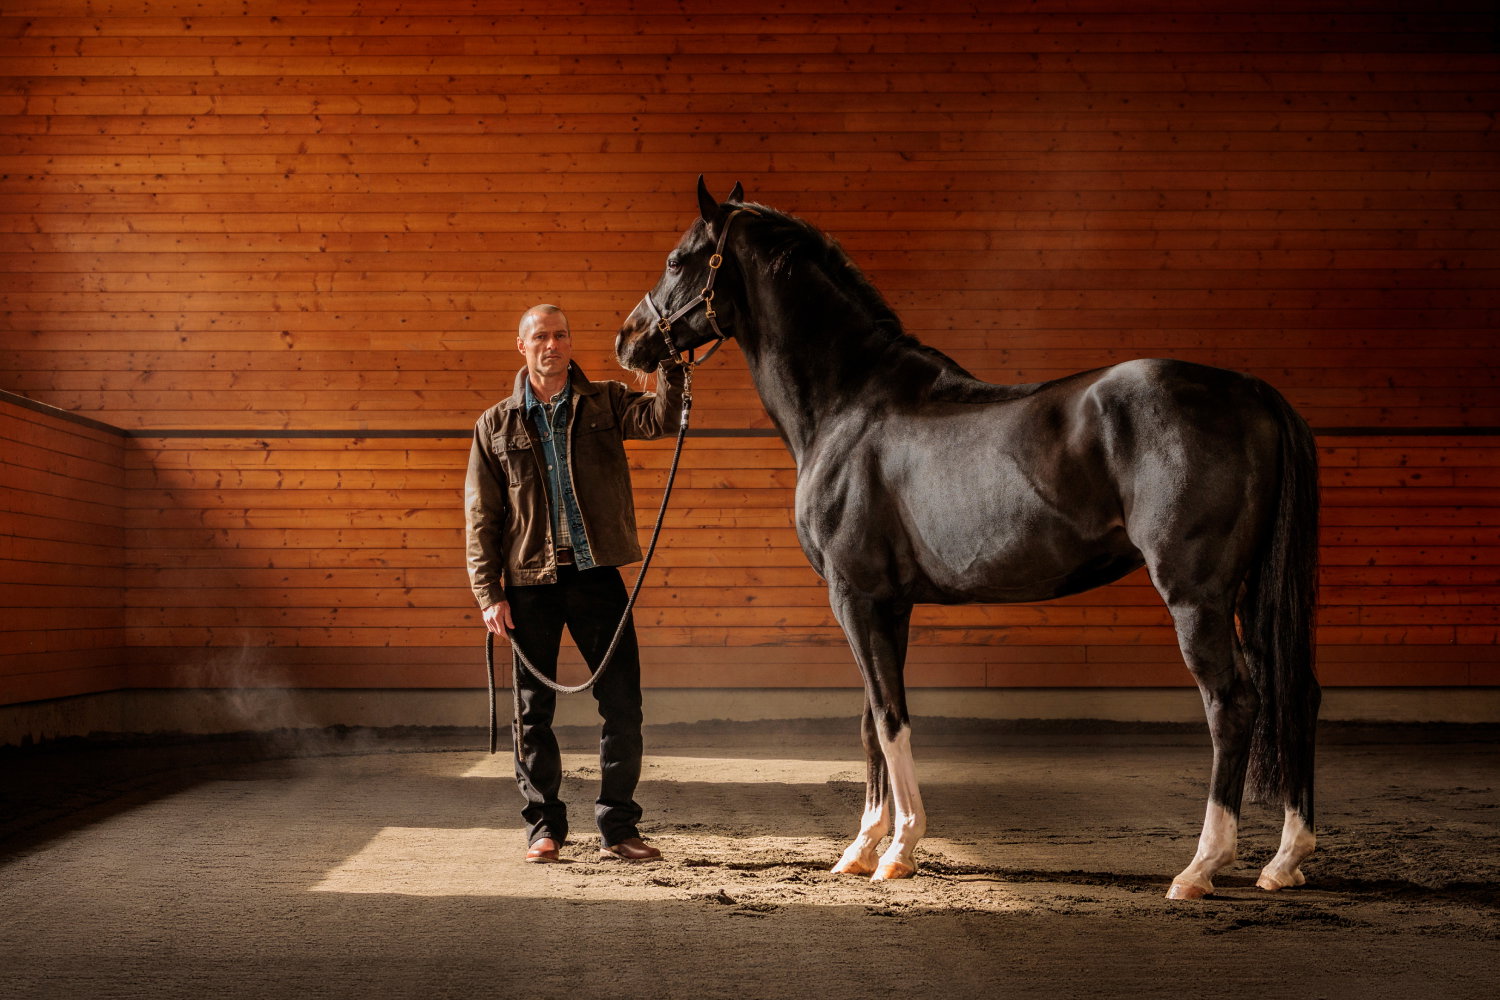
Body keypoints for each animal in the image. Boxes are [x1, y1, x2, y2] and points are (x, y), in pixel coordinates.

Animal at [615, 177, 1321, 900]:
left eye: (677, 259)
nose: (629, 339)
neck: (849, 406)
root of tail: (1251, 392)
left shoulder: (855, 596)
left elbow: (890, 716)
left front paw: (899, 848)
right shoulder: (886, 604)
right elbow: (870, 721)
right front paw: (860, 848)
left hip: (1196, 595)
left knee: (1232, 703)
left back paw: (1201, 866)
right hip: (1250, 595)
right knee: (1294, 693)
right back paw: (1284, 861)